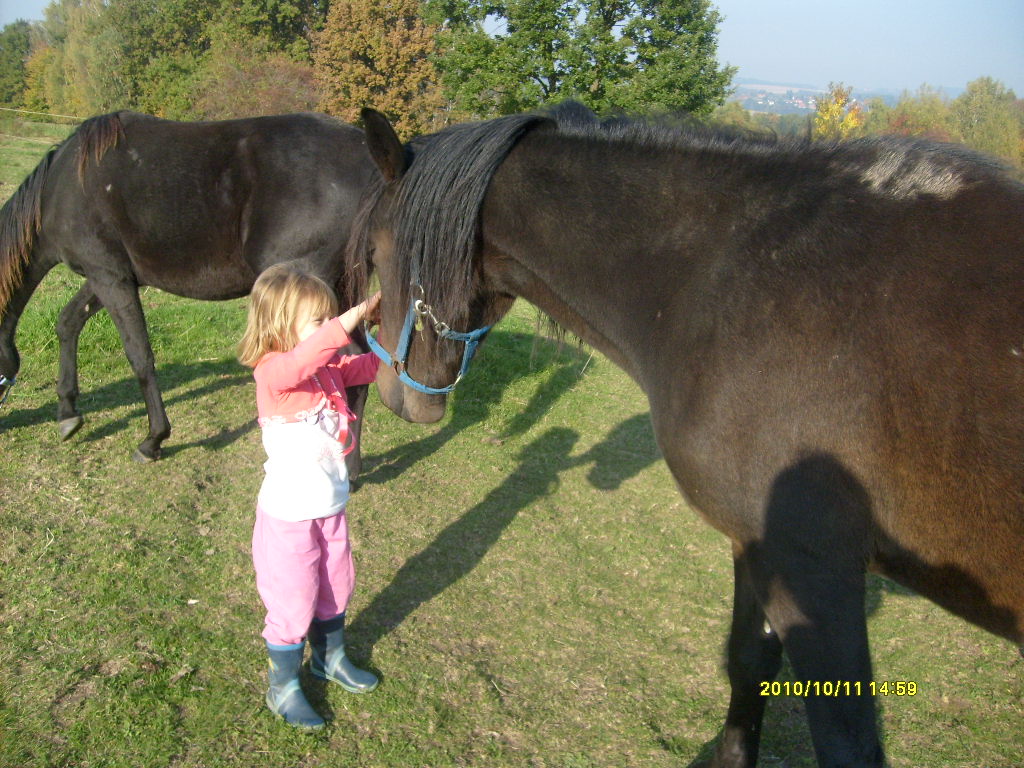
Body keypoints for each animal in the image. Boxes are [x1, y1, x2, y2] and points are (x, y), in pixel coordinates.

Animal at [1, 111, 376, 466]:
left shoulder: (108, 276)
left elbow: (139, 355)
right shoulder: (110, 276)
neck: (61, 187)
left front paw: (153, 439)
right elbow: (68, 323)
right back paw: (352, 464)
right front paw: (67, 412)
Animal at [348, 109, 1019, 768]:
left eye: (377, 249)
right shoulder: (757, 542)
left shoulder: (813, 567)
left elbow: (845, 736)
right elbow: (748, 666)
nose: (391, 392)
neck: (725, 278)